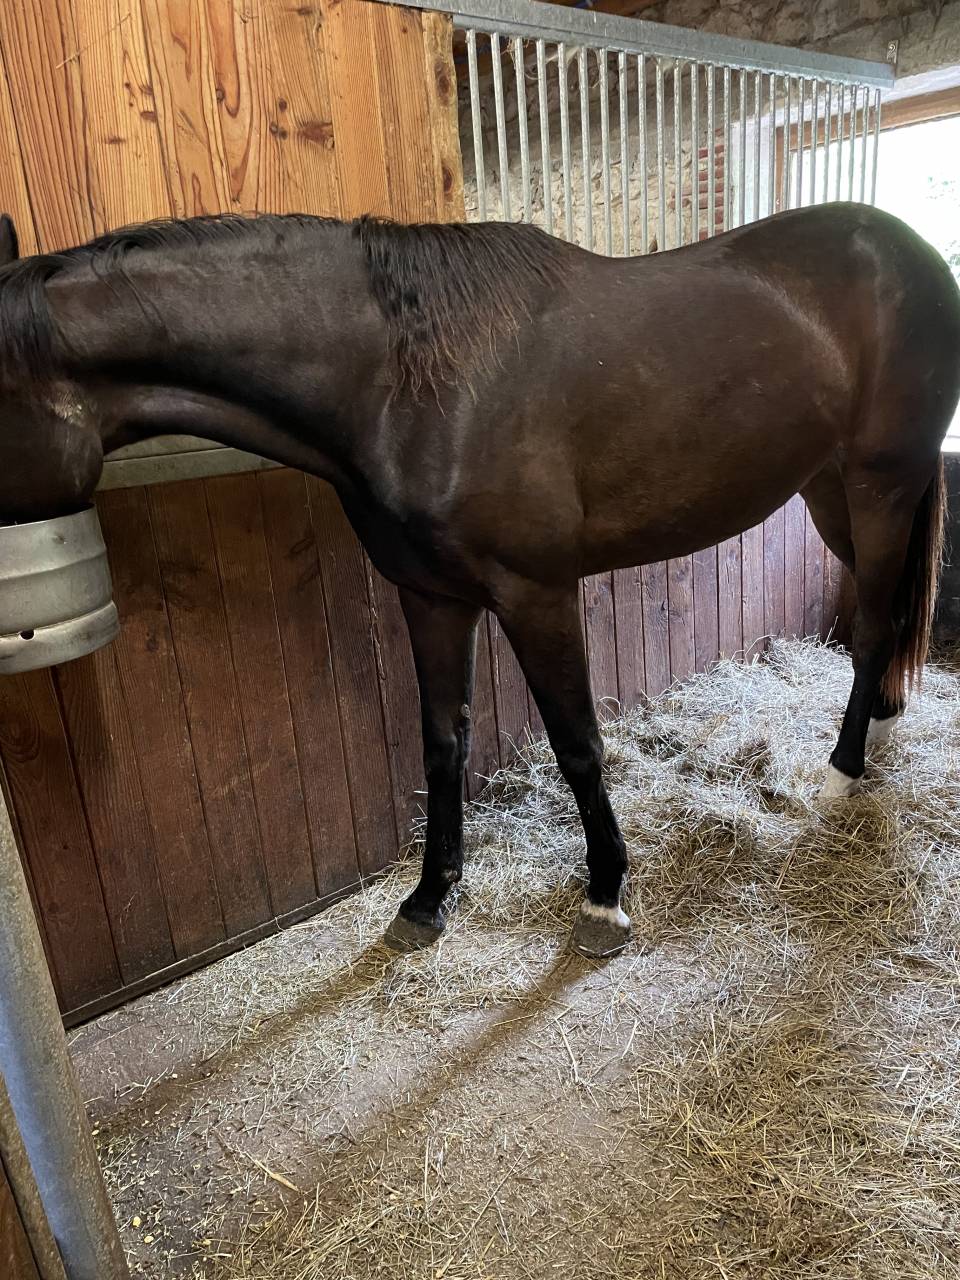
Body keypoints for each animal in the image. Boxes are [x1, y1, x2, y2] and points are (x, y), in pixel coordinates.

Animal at [0, 203, 958, 959]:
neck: (406, 383)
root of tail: (907, 249)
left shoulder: (536, 593)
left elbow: (577, 744)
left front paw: (604, 896)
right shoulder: (432, 596)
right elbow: (442, 742)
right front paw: (429, 899)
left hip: (879, 485)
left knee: (873, 626)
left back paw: (841, 774)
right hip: (828, 491)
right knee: (881, 621)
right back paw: (879, 728)